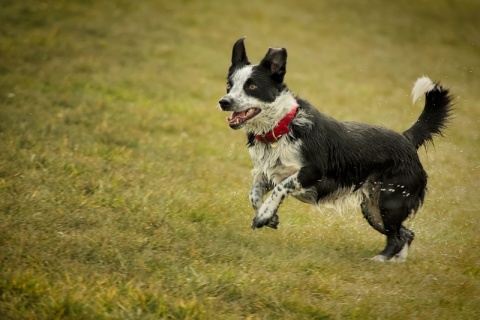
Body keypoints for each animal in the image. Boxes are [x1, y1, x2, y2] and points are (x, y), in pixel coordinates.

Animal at [219, 38, 452, 262]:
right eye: (229, 85)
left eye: (252, 86)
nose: (224, 102)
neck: (283, 126)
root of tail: (406, 139)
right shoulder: (269, 173)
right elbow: (254, 194)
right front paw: (269, 215)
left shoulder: (311, 172)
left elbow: (281, 187)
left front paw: (264, 215)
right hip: (373, 208)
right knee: (406, 234)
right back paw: (396, 262)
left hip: (391, 202)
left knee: (396, 237)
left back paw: (380, 260)